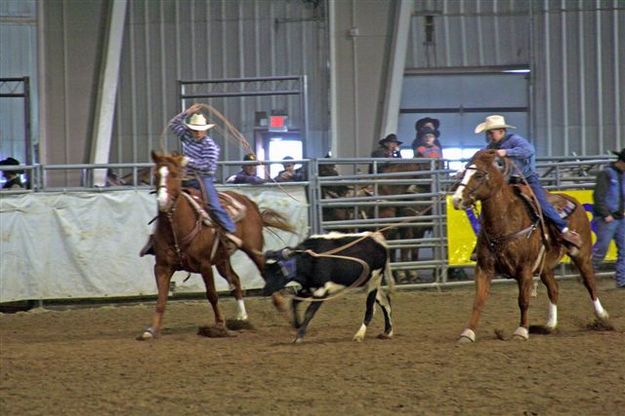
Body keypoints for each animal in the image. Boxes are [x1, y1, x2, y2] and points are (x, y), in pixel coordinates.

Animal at [138, 151, 294, 340]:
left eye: (174, 174)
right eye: (156, 175)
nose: (162, 201)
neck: (178, 228)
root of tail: (250, 203)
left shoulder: (205, 265)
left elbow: (212, 295)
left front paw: (220, 326)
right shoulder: (161, 267)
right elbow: (161, 299)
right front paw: (152, 330)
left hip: (252, 249)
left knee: (262, 270)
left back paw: (281, 307)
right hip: (221, 260)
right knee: (235, 280)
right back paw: (242, 318)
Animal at [450, 150, 608, 342]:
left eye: (479, 175)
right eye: (463, 173)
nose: (456, 199)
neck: (505, 222)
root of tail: (574, 201)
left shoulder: (524, 268)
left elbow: (523, 301)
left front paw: (521, 331)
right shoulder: (484, 267)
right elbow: (478, 300)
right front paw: (468, 333)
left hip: (582, 255)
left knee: (590, 283)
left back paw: (602, 317)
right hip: (545, 266)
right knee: (554, 290)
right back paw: (549, 325)